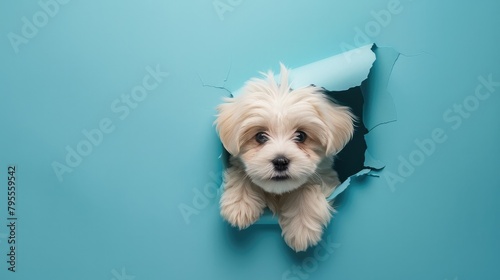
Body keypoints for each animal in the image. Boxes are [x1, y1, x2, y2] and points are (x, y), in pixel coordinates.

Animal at [215, 65, 356, 252]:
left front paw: (302, 226)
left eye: (301, 136)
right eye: (260, 137)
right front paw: (239, 203)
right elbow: (241, 172)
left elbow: (306, 187)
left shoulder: (328, 178)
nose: (280, 161)